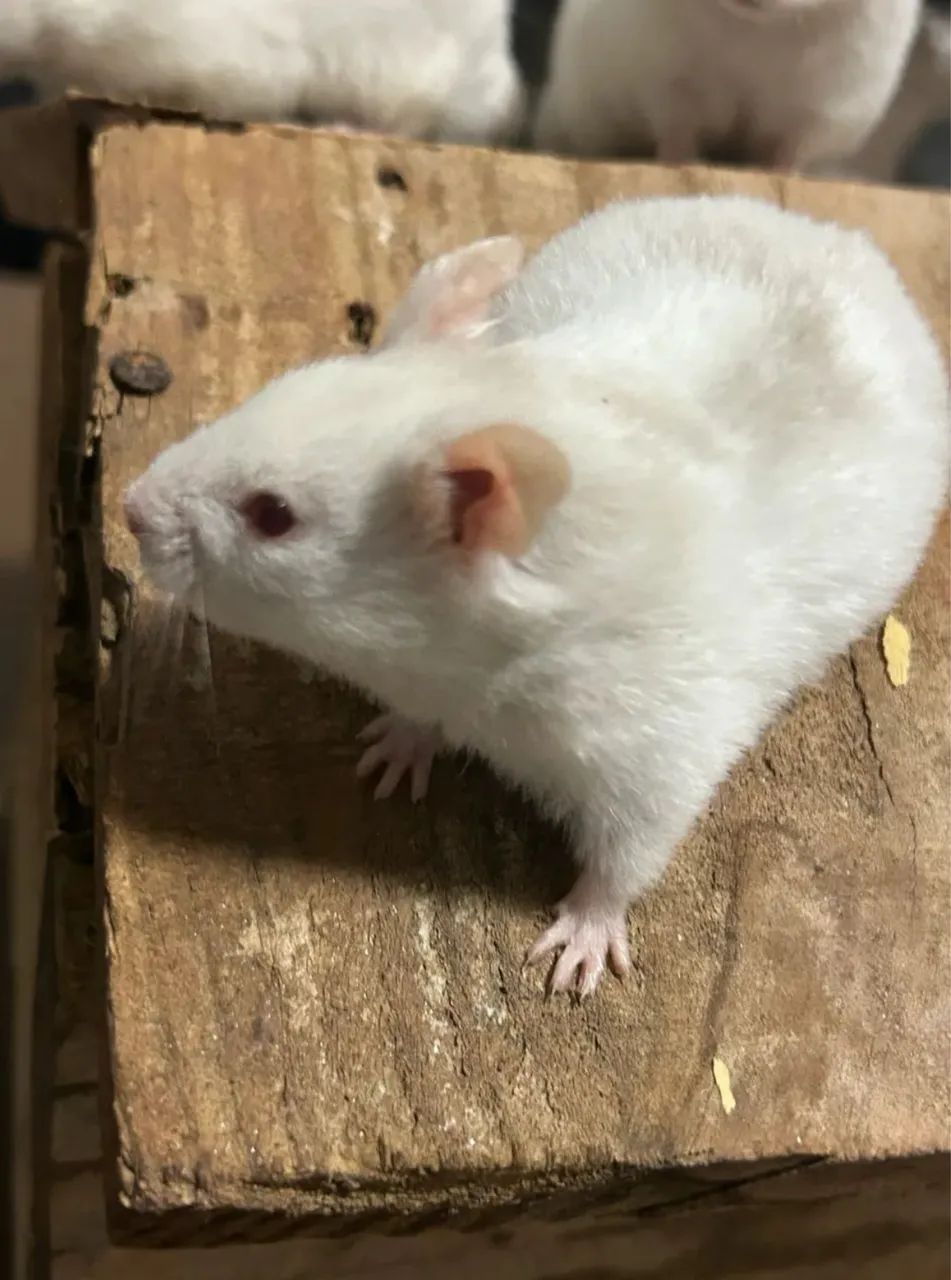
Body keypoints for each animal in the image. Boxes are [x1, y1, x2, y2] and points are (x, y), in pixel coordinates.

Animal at [124, 195, 948, 997]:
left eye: (273, 515)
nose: (128, 508)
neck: (465, 666)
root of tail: (842, 237)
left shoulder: (659, 750)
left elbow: (626, 859)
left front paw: (575, 954)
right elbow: (414, 725)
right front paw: (389, 752)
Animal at [535, 0, 923, 170]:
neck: (755, 28)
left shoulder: (827, 107)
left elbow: (789, 149)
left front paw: (777, 174)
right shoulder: (667, 78)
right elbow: (678, 129)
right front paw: (687, 165)